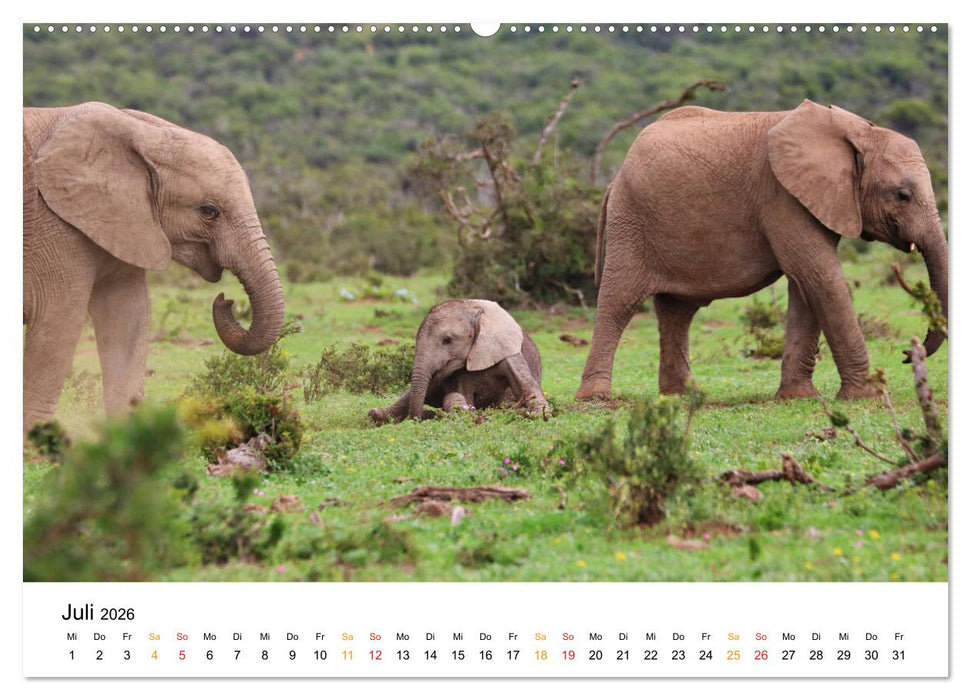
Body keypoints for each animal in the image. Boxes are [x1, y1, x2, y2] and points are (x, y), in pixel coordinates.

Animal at [23, 102, 285, 432]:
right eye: (209, 211)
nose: (225, 300)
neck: (141, 131)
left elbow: (128, 320)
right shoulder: (56, 228)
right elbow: (56, 325)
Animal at [368, 299, 548, 424]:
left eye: (447, 340)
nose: (418, 419)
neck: (474, 309)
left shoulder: (506, 350)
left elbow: (528, 387)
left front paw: (537, 413)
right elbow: (457, 394)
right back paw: (375, 414)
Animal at [575, 99, 947, 402]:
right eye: (902, 195)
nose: (906, 352)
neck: (858, 132)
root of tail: (616, 176)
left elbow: (806, 286)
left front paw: (798, 397)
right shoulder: (782, 196)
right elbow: (821, 278)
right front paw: (868, 397)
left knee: (678, 311)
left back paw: (685, 394)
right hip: (630, 220)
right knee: (620, 301)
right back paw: (596, 397)